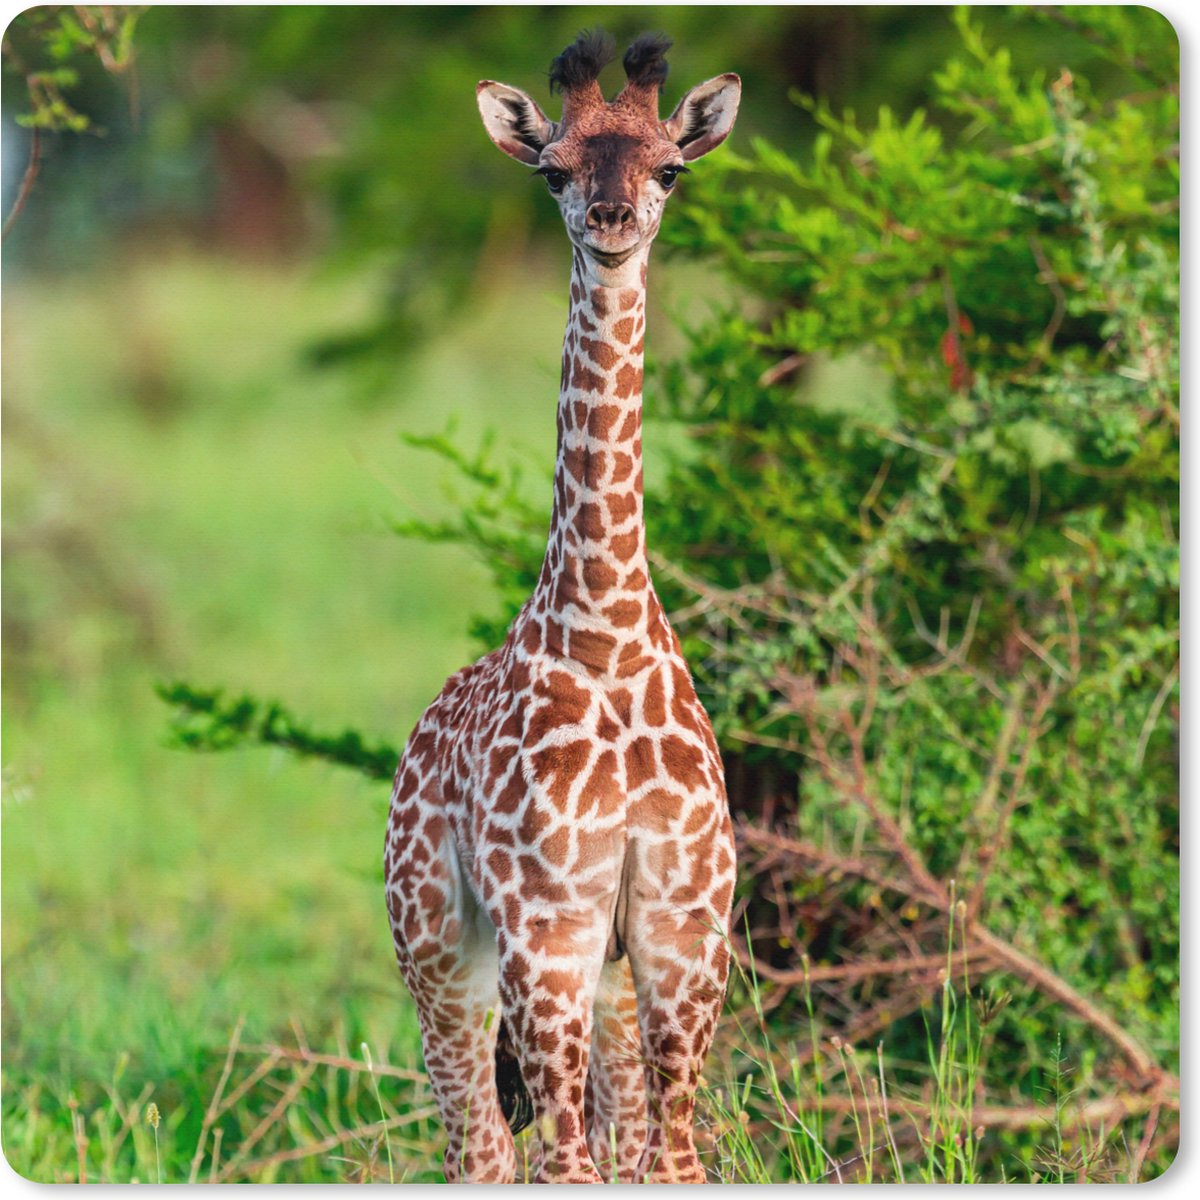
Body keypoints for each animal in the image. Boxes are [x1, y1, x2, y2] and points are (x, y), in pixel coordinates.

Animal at [385, 31, 741, 1184]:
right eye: (553, 171)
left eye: (670, 167)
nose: (614, 223)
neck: (608, 630)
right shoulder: (547, 932)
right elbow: (560, 1163)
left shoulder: (680, 935)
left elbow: (671, 1163)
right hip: (439, 952)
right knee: (483, 1147)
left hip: (610, 984)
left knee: (603, 1139)